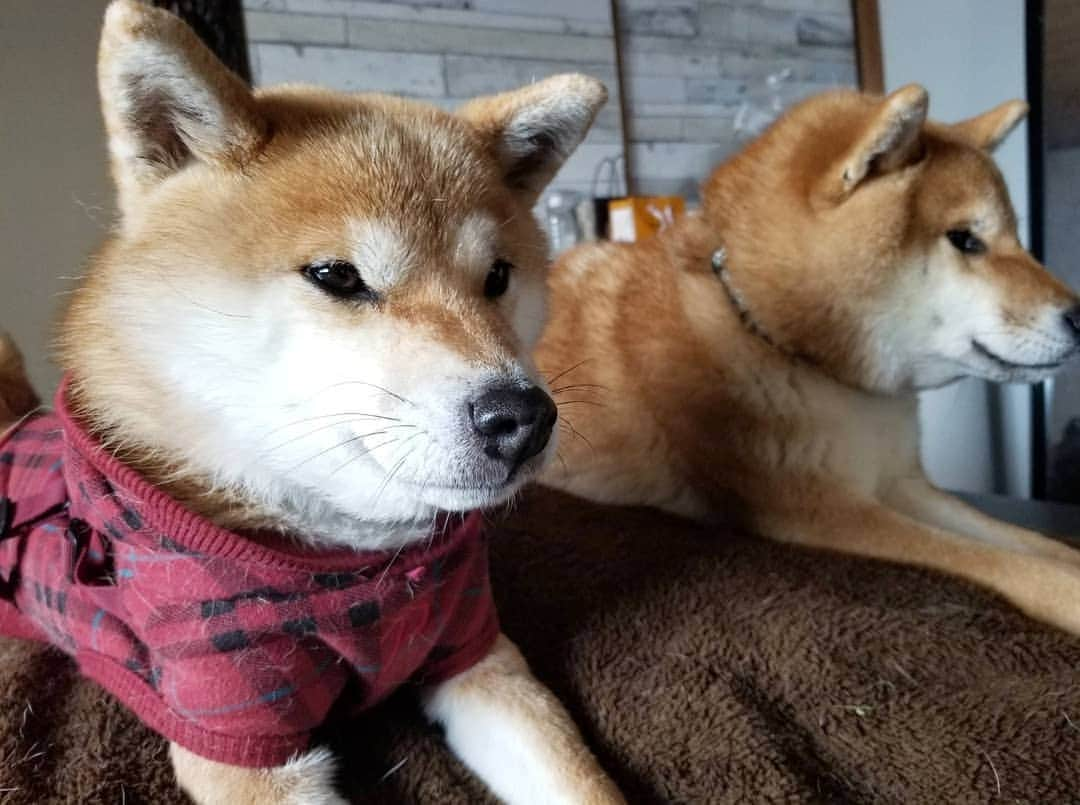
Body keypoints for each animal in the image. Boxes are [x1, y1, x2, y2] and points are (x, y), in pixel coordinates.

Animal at [0, 1, 626, 803]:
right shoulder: (240, 731)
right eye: (337, 276)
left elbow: (581, 781)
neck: (354, 574)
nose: (524, 418)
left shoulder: (476, 653)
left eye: (498, 278)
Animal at [540, 84, 1080, 635]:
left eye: (1018, 238)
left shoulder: (899, 482)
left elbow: (1032, 542)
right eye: (966, 239)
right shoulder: (826, 510)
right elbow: (993, 559)